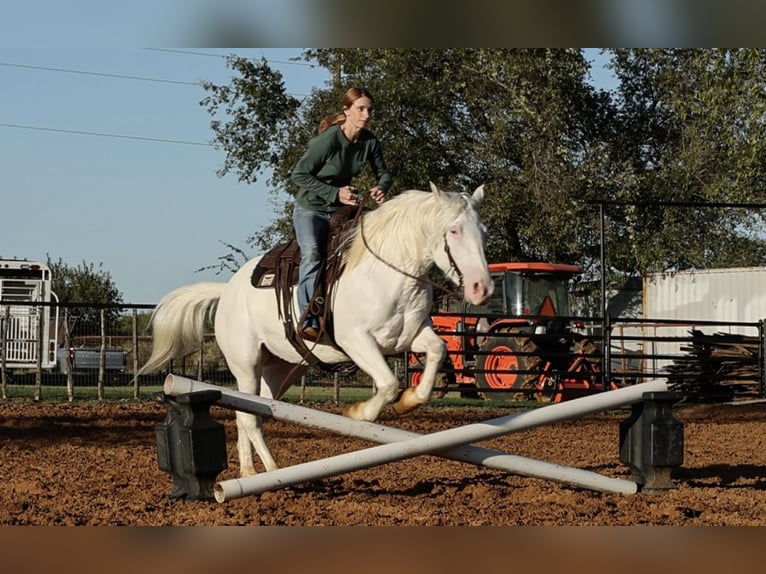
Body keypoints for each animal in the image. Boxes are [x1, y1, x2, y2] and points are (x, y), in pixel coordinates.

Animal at [141, 183, 496, 476]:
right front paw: (358, 412)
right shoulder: (357, 341)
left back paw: (252, 471)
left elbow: (437, 350)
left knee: (253, 412)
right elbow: (387, 383)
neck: (386, 272)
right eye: (454, 230)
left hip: (279, 370)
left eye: (483, 232)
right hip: (246, 364)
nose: (482, 288)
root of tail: (228, 290)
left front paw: (410, 400)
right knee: (249, 417)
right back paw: (268, 472)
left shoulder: (408, 335)